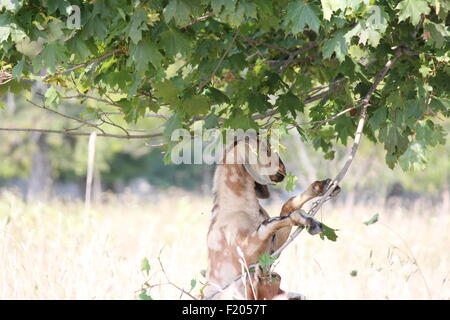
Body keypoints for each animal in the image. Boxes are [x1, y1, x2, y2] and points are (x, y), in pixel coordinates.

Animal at [205, 138, 342, 300]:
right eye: (267, 150)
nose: (283, 170)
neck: (234, 208)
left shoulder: (272, 250)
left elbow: (287, 206)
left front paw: (323, 186)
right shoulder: (246, 254)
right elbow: (269, 225)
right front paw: (308, 220)